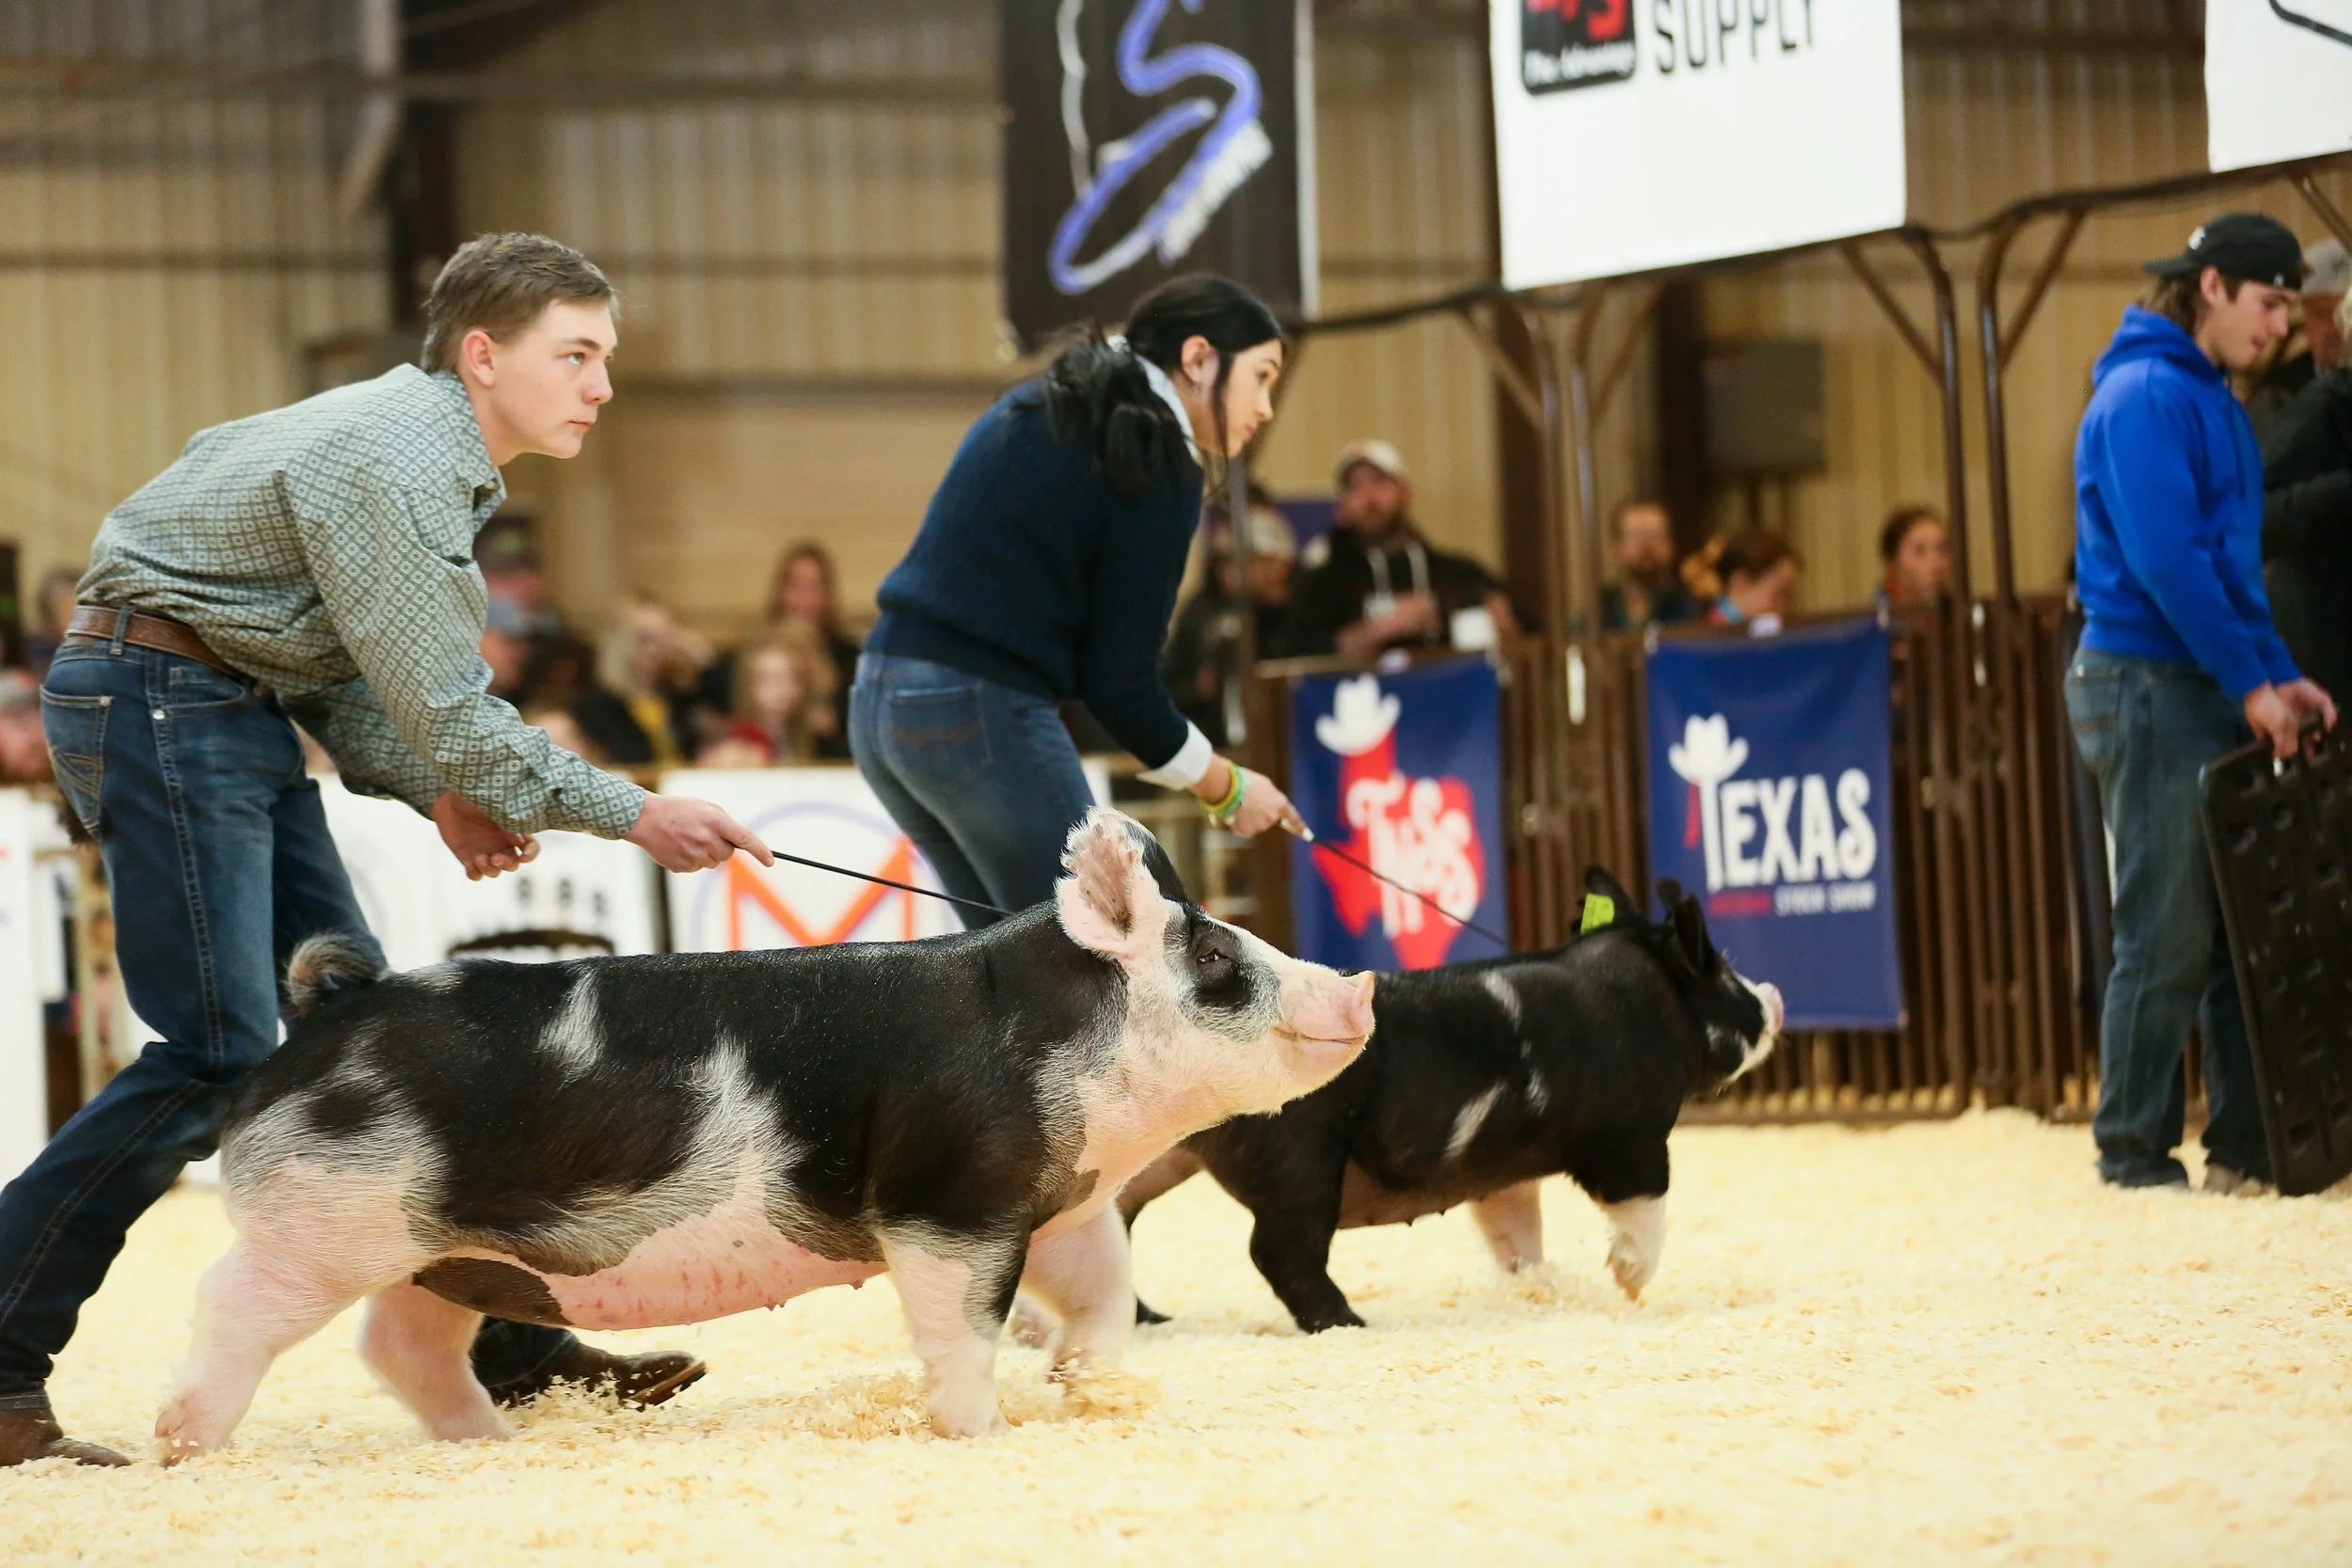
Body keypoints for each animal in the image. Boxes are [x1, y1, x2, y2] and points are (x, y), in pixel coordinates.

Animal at [152, 808, 1375, 1459]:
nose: (1359, 985)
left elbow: (1105, 1293)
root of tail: (324, 1016)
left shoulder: (1063, 1198)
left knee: (401, 1345)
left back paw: (489, 1443)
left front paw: (1087, 1383)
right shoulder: (945, 1203)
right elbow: (961, 1326)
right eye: (1215, 960)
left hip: (444, 1249)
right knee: (226, 1303)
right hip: (319, 1225)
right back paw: (181, 1438)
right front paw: (979, 1429)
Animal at [1113, 870, 1782, 1333]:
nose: (1773, 995)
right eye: (1724, 975)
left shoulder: (1500, 1170)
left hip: (1155, 1158)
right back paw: (1350, 1324)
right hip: (1301, 1165)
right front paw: (1630, 1286)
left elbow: (1516, 1232)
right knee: (1277, 1252)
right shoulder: (1630, 1140)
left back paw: (1147, 1319)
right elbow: (1647, 1214)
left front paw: (1540, 1287)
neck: (1646, 1007)